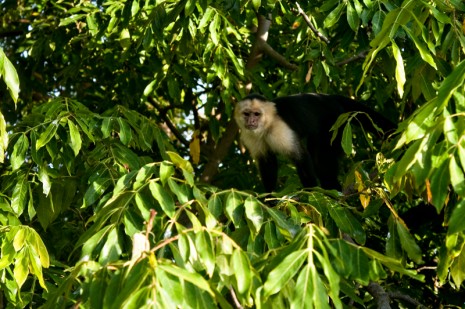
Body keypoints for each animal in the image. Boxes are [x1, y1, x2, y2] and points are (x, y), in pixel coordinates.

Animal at [234, 92, 394, 191]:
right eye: (247, 114)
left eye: (257, 114)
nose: (251, 121)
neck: (266, 126)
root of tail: (328, 97)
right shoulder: (250, 135)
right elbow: (267, 162)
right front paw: (269, 198)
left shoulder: (279, 129)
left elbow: (300, 157)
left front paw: (310, 194)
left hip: (335, 122)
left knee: (322, 160)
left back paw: (333, 189)